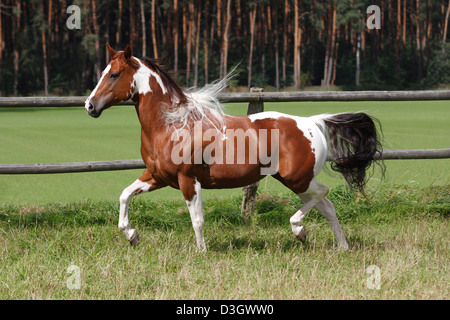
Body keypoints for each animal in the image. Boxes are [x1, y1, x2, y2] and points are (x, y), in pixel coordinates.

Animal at [85, 44, 384, 250]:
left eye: (114, 75)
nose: (89, 106)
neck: (171, 124)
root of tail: (312, 122)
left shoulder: (187, 179)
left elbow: (197, 219)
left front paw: (201, 252)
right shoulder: (157, 176)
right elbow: (125, 195)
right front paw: (132, 236)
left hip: (297, 178)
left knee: (323, 194)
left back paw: (299, 230)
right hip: (298, 181)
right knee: (328, 206)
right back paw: (340, 246)